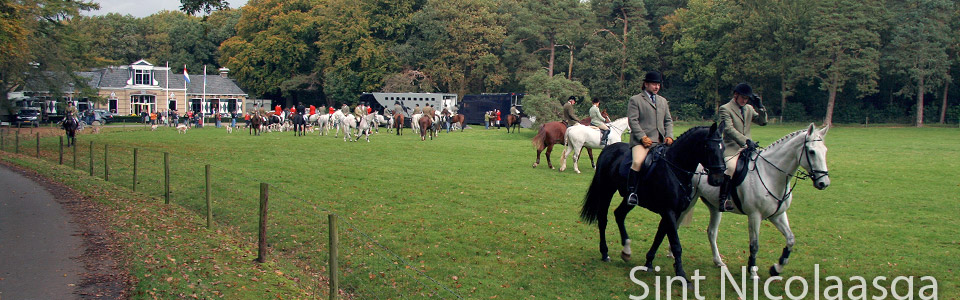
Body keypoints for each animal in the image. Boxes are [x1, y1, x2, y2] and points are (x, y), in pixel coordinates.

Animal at [576, 123, 728, 284]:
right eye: (709, 147)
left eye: (723, 148)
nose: (718, 179)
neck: (675, 169)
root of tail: (609, 149)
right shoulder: (669, 211)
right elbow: (676, 244)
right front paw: (682, 275)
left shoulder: (673, 212)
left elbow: (659, 237)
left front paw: (648, 262)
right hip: (606, 190)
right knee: (603, 219)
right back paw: (605, 253)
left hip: (629, 199)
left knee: (619, 214)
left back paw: (626, 250)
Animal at [684, 123, 832, 280]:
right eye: (811, 152)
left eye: (825, 151)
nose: (824, 183)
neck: (770, 174)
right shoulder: (754, 216)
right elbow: (754, 245)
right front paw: (753, 271)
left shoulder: (778, 215)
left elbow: (790, 239)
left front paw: (776, 268)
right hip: (689, 202)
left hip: (715, 206)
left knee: (712, 232)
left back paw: (718, 261)